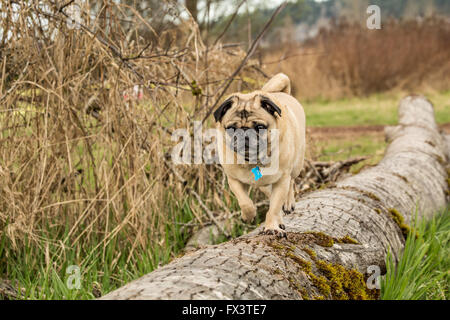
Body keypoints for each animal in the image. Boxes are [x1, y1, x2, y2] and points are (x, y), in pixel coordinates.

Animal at [214, 73, 306, 238]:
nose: (245, 134)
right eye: (231, 128)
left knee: (291, 182)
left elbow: (274, 207)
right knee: (269, 194)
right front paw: (248, 215)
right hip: (264, 185)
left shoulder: (281, 180)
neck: (252, 160)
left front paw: (271, 227)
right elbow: (245, 202)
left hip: (296, 165)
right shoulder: (233, 180)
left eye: (260, 127)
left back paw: (288, 203)